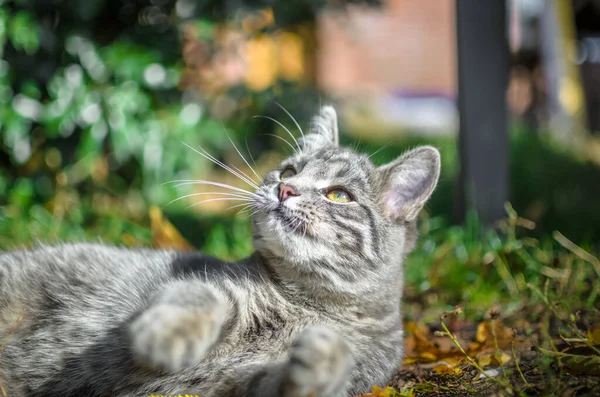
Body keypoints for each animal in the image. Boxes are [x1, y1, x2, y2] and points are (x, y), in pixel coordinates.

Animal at [0, 106, 440, 396]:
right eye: (289, 171)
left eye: (339, 195)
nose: (285, 189)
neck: (305, 304)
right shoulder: (196, 280)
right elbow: (203, 298)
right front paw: (166, 335)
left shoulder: (233, 384)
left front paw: (321, 362)